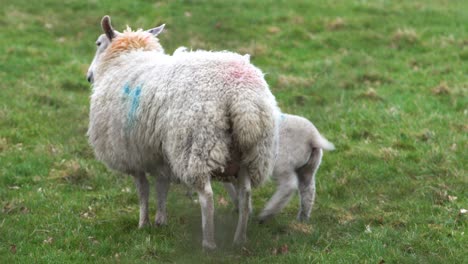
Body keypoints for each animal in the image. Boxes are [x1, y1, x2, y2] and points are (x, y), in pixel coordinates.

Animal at [86, 14, 280, 250]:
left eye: (98, 43)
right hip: (252, 152)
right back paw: (239, 239)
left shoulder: (133, 153)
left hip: (196, 145)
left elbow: (144, 190)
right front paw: (160, 222)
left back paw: (209, 243)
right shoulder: (159, 154)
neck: (126, 59)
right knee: (246, 194)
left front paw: (144, 223)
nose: (89, 76)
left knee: (207, 196)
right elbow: (162, 187)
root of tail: (242, 97)